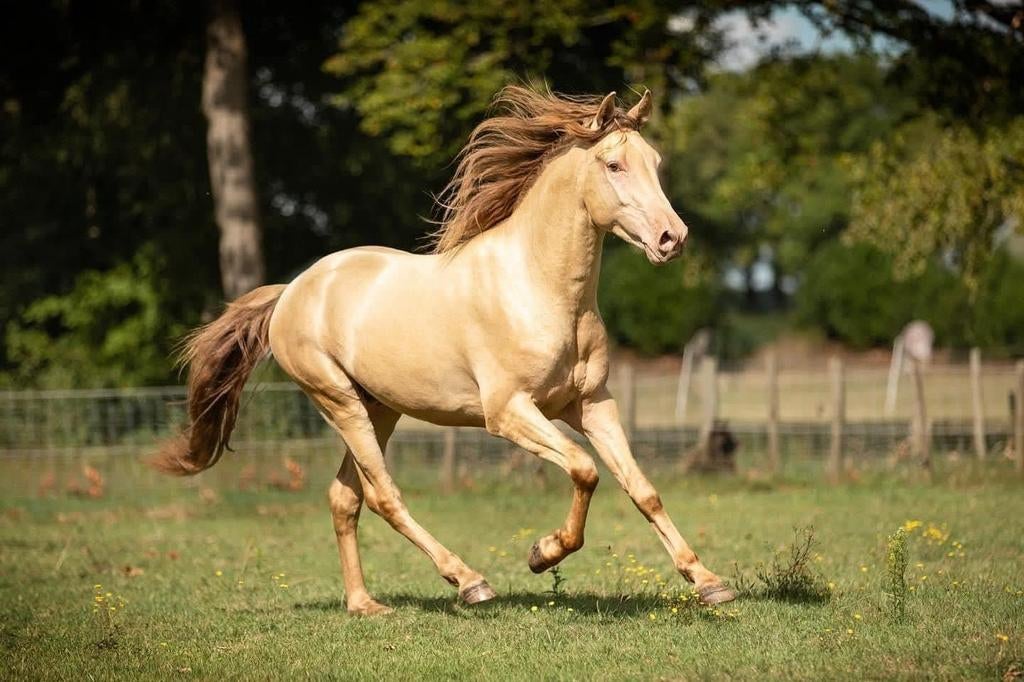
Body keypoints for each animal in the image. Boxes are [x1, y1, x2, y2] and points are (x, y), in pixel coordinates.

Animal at [154, 86, 736, 614]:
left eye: (654, 162)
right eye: (613, 164)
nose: (672, 238)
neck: (538, 288)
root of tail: (292, 292)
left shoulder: (592, 404)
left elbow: (642, 488)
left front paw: (709, 582)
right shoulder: (509, 412)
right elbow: (584, 469)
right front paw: (542, 554)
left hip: (379, 408)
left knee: (345, 498)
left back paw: (364, 605)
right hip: (339, 402)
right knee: (383, 496)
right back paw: (470, 582)